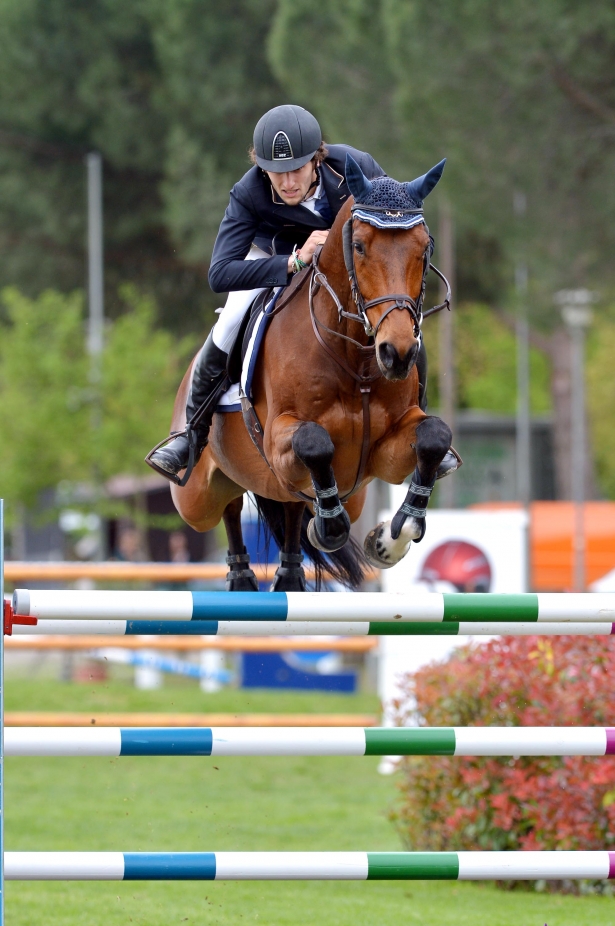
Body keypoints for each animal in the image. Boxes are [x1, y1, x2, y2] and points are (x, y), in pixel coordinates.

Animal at [166, 155, 454, 592]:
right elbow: (315, 442)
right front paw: (329, 528)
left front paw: (390, 540)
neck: (357, 363)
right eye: (359, 246)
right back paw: (240, 571)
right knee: (229, 504)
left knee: (287, 508)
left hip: (345, 494)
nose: (398, 354)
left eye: (424, 248)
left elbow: (434, 435)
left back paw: (285, 571)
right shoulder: (278, 438)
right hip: (195, 499)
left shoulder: (384, 453)